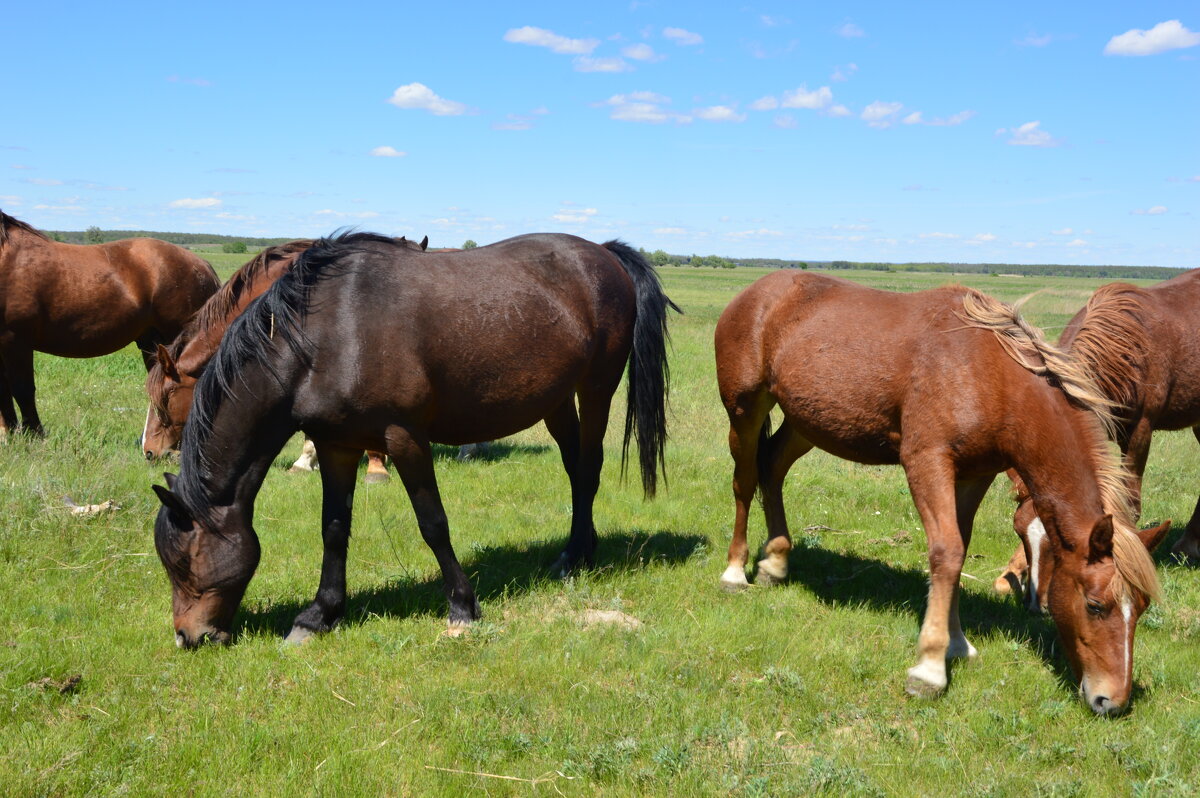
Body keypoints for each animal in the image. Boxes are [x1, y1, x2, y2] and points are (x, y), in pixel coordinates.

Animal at [0, 210, 218, 436]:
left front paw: (35, 434)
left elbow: (22, 388)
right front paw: (10, 433)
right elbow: (4, 391)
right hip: (154, 345)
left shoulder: (16, 341)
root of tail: (201, 264)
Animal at [151, 230, 676, 648]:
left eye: (184, 562)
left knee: (587, 468)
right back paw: (578, 549)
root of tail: (602, 253)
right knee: (574, 469)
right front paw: (319, 615)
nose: (187, 637)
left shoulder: (405, 439)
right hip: (556, 400)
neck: (325, 334)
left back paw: (574, 557)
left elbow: (433, 524)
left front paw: (462, 607)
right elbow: (334, 529)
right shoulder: (337, 445)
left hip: (596, 388)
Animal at [715, 272, 1166, 715]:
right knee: (745, 481)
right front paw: (930, 667)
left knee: (773, 468)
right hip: (744, 410)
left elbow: (960, 549)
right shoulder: (926, 462)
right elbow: (946, 552)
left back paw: (775, 561)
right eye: (1095, 605)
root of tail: (756, 293)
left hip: (805, 423)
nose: (1112, 701)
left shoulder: (974, 474)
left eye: (1141, 607)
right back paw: (736, 571)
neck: (991, 376)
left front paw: (957, 643)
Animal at [993, 271, 1200, 607]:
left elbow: (1129, 504)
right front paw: (1012, 570)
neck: (1124, 350)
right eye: (1019, 531)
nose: (1039, 601)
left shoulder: (1139, 433)